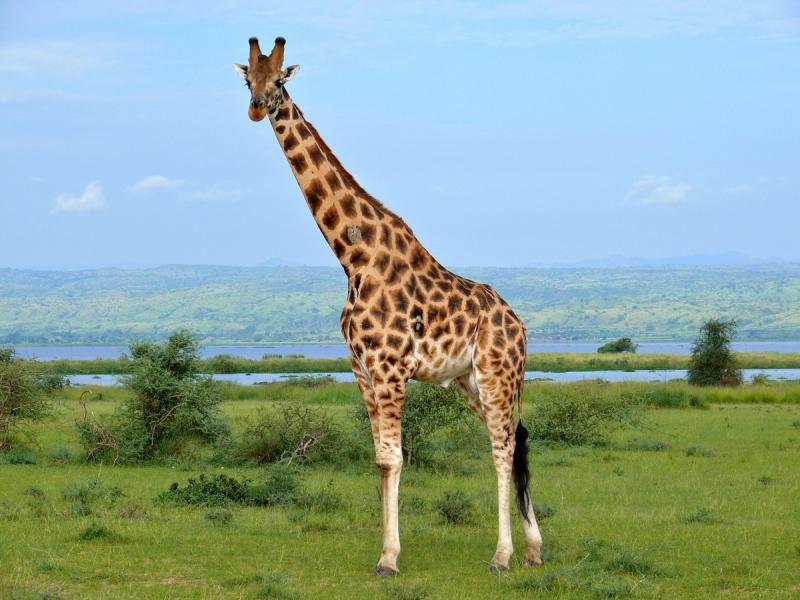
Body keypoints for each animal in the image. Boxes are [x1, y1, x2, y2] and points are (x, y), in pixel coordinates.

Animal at [233, 36, 543, 574]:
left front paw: (389, 559)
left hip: (498, 372)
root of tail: (520, 325)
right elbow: (380, 458)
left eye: (280, 81)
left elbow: (395, 458)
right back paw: (532, 549)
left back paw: (502, 556)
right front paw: (386, 550)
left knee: (503, 447)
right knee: (511, 438)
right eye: (247, 78)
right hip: (470, 380)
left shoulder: (390, 366)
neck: (352, 255)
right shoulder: (360, 368)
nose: (256, 107)